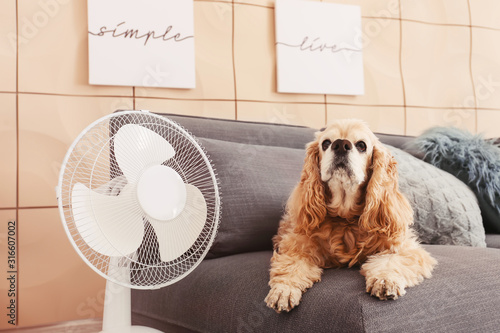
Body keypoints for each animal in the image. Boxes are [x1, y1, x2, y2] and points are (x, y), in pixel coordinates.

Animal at [266, 118, 438, 312]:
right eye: (326, 143)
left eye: (362, 145)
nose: (341, 144)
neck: (346, 219)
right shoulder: (298, 246)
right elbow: (291, 266)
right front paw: (284, 290)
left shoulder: (405, 249)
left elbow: (390, 261)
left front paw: (385, 281)